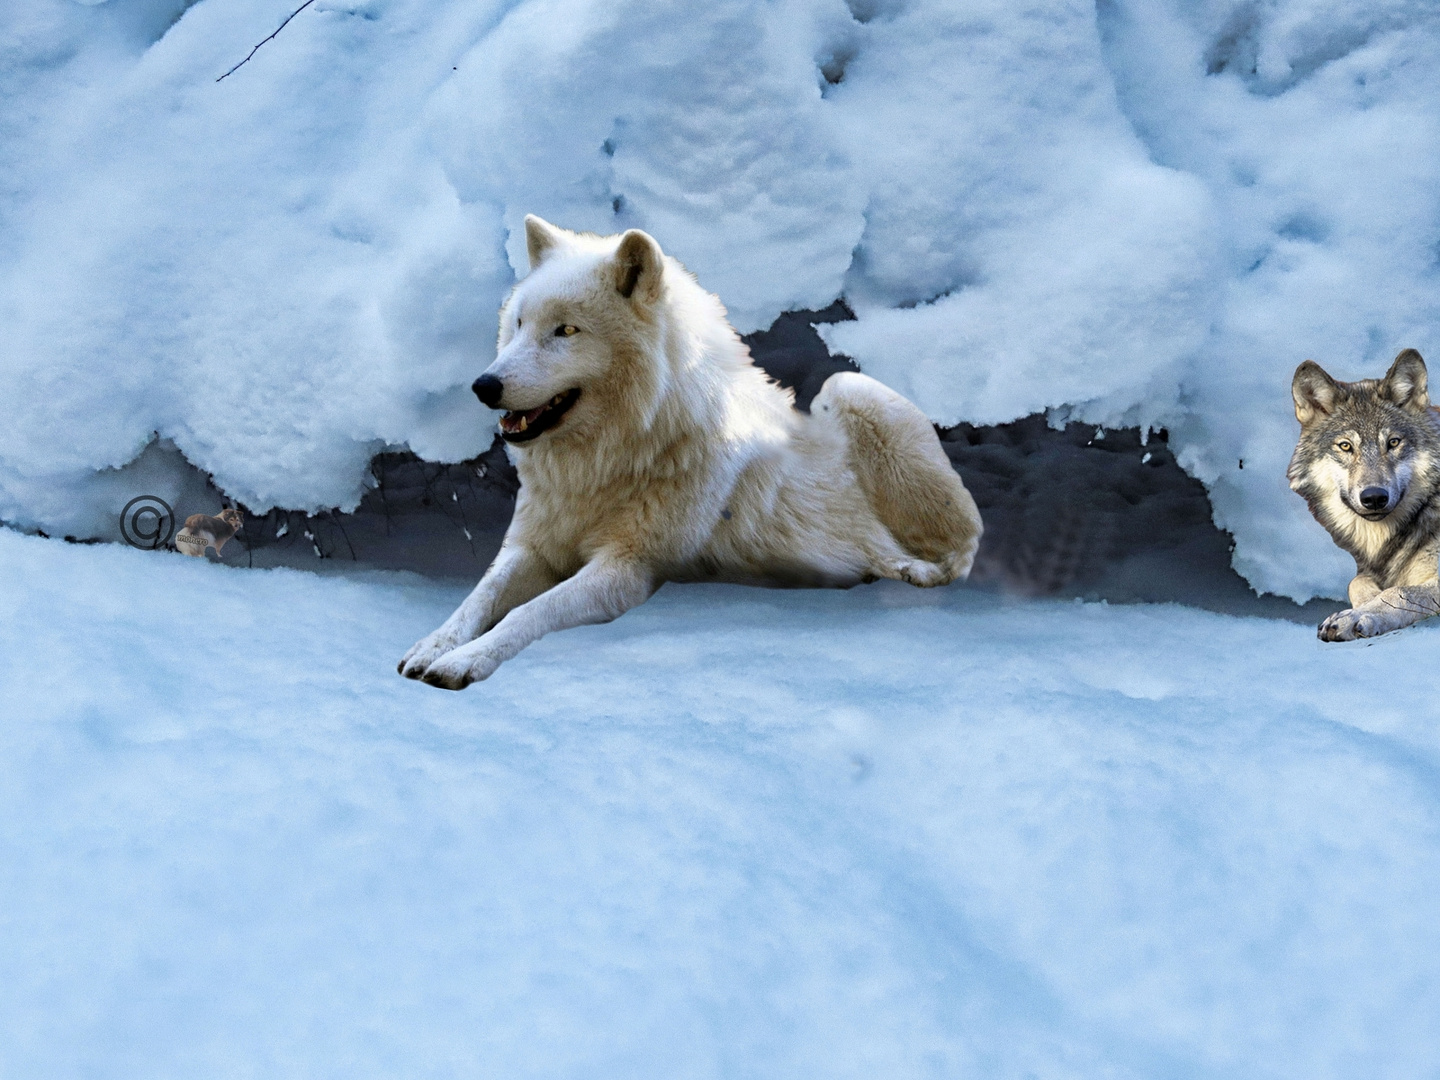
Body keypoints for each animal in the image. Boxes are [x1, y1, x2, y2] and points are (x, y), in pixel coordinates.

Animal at [406, 217, 990, 694]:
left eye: (566, 330)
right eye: (520, 325)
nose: (483, 386)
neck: (606, 463)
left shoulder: (628, 570)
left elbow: (526, 612)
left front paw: (465, 661)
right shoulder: (534, 547)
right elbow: (480, 597)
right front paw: (433, 645)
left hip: (848, 388)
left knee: (965, 543)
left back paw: (913, 569)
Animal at [1290, 351, 1440, 642]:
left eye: (1393, 442)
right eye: (1346, 446)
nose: (1374, 497)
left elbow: (1398, 591)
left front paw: (1356, 616)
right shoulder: (1365, 572)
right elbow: (1356, 582)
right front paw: (1363, 604)